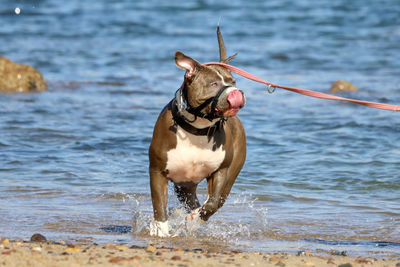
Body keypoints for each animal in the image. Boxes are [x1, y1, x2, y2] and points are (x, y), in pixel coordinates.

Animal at [148, 27, 245, 238]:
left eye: (233, 81)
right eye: (214, 84)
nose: (237, 92)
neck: (197, 130)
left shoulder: (220, 171)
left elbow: (213, 203)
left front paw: (194, 221)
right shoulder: (157, 171)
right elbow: (159, 205)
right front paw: (160, 230)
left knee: (214, 200)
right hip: (184, 185)